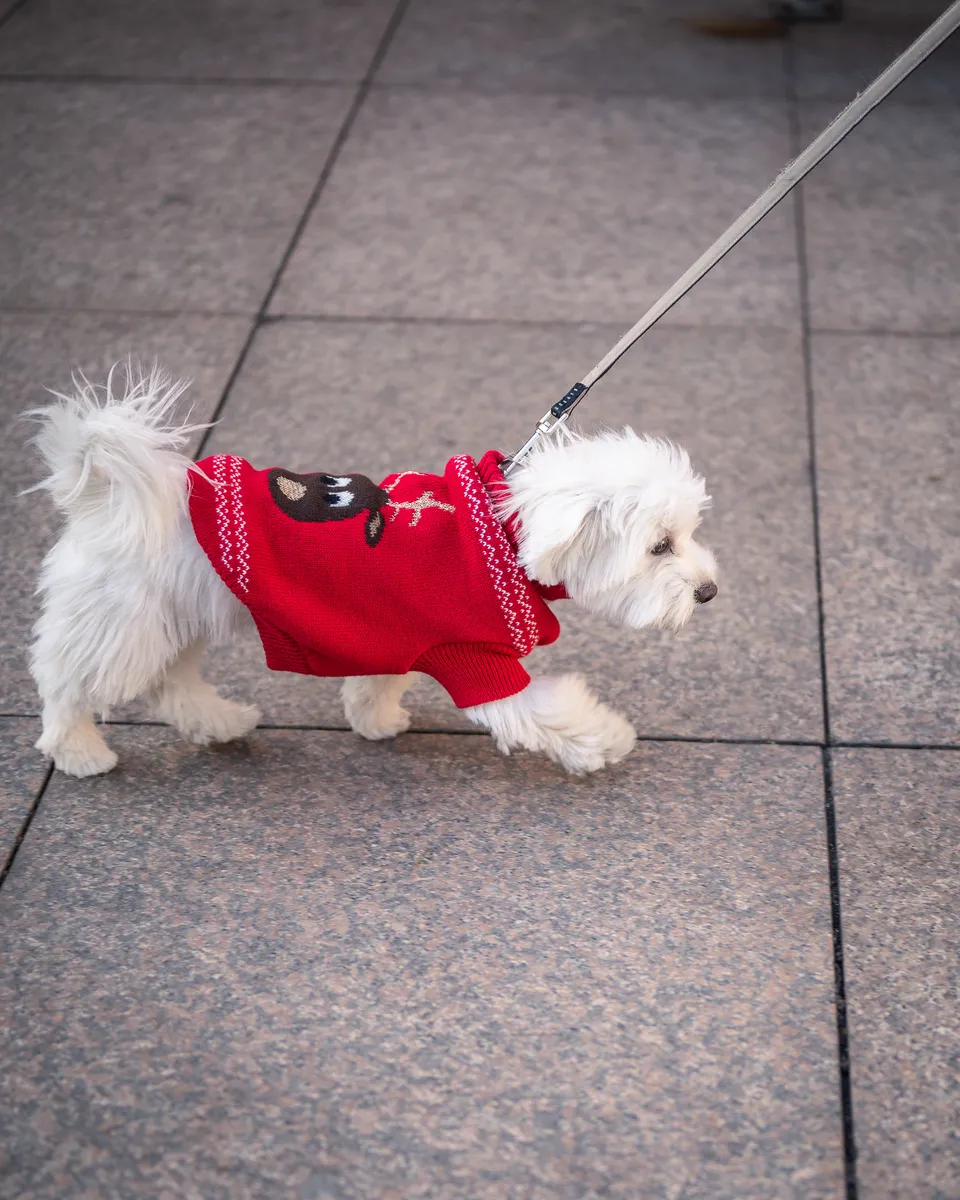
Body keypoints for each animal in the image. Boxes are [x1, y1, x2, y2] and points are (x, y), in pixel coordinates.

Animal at [26, 364, 715, 777]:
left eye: (687, 534)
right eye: (659, 547)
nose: (709, 591)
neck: (503, 531)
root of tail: (103, 496)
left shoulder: (400, 631)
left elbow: (379, 680)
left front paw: (375, 719)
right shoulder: (477, 660)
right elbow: (548, 712)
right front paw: (609, 739)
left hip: (173, 620)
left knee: (172, 686)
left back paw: (220, 723)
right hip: (122, 626)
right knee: (69, 686)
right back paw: (79, 751)